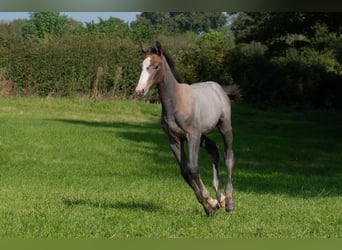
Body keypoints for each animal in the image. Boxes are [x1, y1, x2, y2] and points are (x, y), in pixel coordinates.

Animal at [135, 42, 239, 216]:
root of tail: (219, 89)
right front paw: (210, 206)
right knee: (214, 149)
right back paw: (221, 197)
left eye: (156, 66)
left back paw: (229, 202)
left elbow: (193, 168)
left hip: (224, 126)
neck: (175, 103)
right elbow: (185, 172)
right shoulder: (174, 140)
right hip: (202, 135)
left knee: (228, 157)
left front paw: (209, 201)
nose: (140, 91)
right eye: (141, 66)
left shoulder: (192, 136)